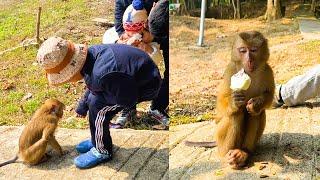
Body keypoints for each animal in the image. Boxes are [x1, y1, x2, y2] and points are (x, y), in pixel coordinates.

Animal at [185, 31, 276, 169]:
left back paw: (243, 152)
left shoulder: (267, 70)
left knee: (255, 114)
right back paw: (229, 156)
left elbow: (268, 95)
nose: (249, 59)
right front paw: (234, 101)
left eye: (253, 50)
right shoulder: (230, 71)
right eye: (243, 50)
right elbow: (221, 103)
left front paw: (256, 103)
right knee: (235, 114)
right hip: (220, 139)